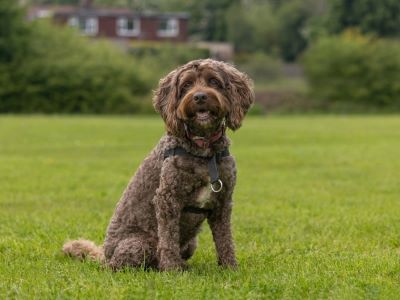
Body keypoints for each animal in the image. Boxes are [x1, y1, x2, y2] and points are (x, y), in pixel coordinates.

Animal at [64, 59, 255, 272]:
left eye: (214, 81)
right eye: (187, 85)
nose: (199, 96)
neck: (203, 150)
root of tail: (104, 256)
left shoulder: (223, 202)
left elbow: (225, 239)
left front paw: (230, 267)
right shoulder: (167, 199)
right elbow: (168, 239)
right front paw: (172, 270)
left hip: (190, 244)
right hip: (139, 245)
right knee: (122, 265)